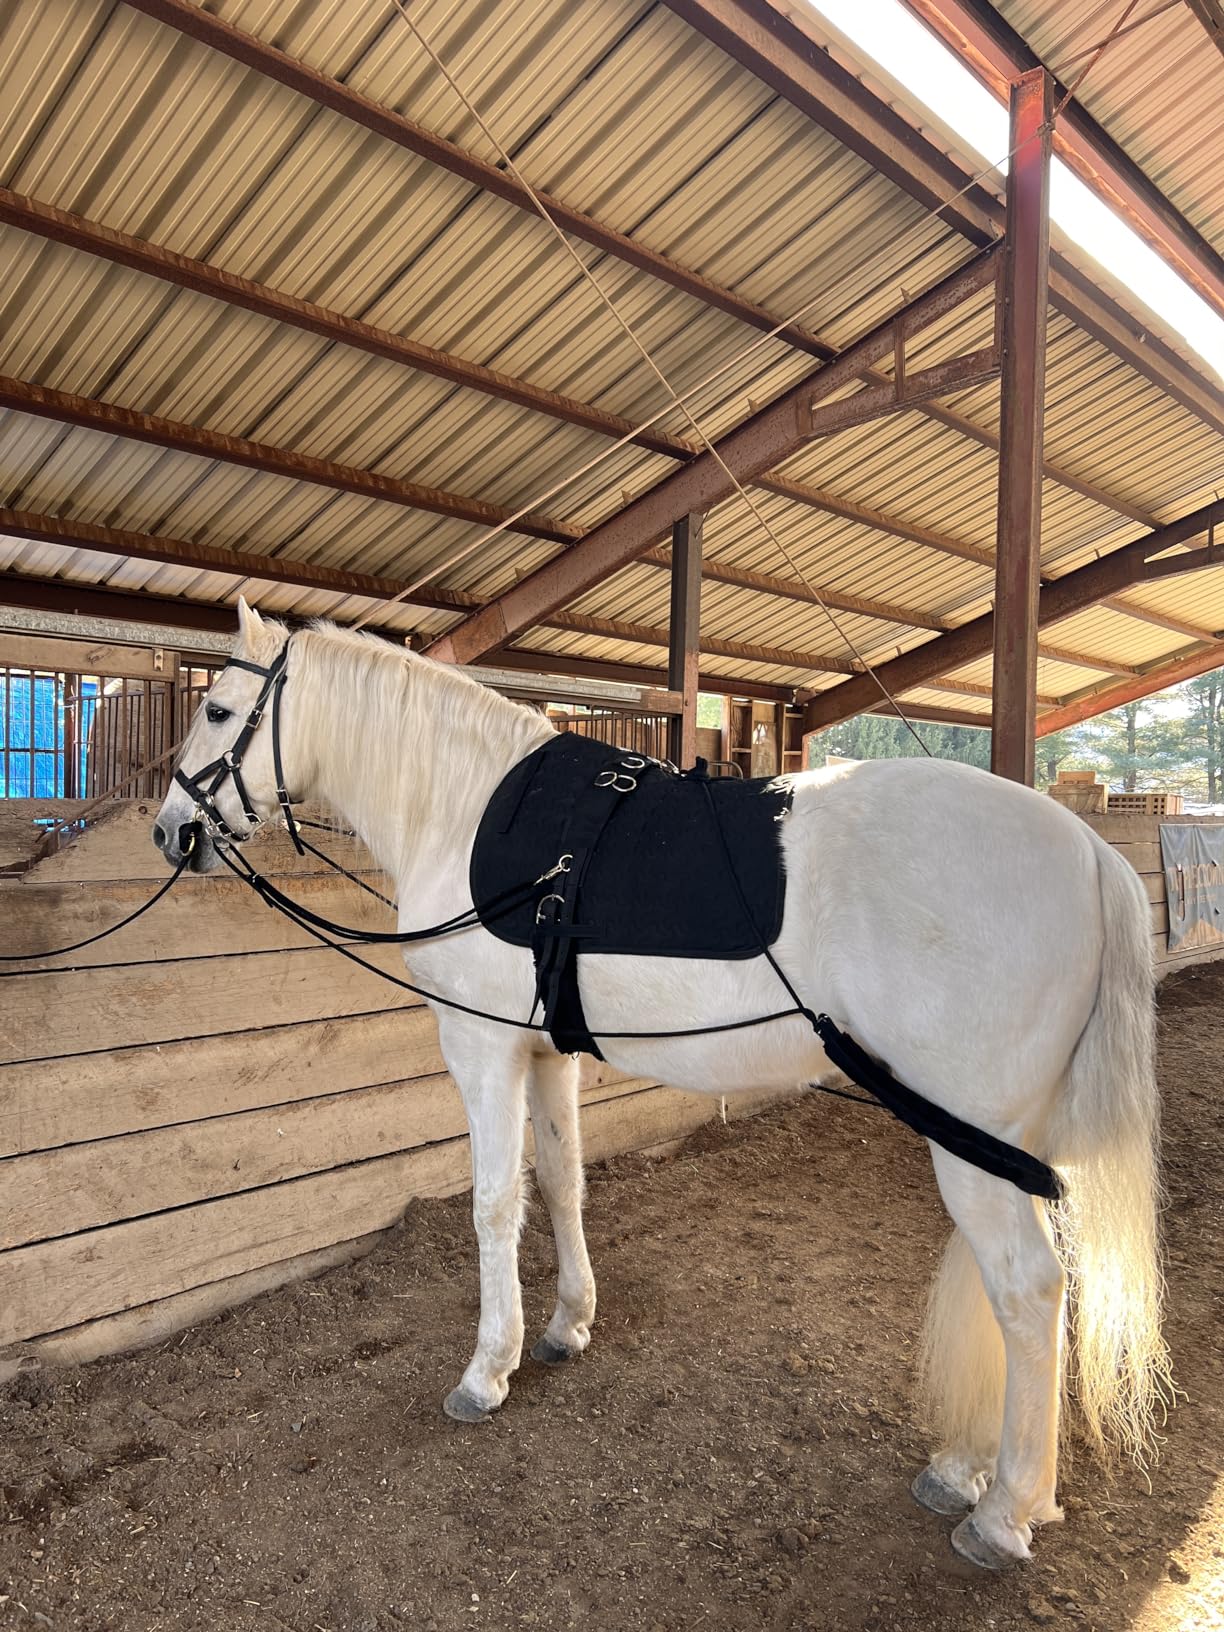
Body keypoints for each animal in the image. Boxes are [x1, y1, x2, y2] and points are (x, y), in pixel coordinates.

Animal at [152, 600, 1171, 1570]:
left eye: (217, 710)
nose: (171, 830)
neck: (468, 807)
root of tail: (1089, 850)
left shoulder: (481, 1047)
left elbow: (492, 1204)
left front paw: (488, 1370)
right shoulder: (546, 1053)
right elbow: (561, 1183)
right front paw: (566, 1326)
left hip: (972, 1137)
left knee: (1029, 1290)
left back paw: (1004, 1514)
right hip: (989, 1140)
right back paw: (967, 1470)